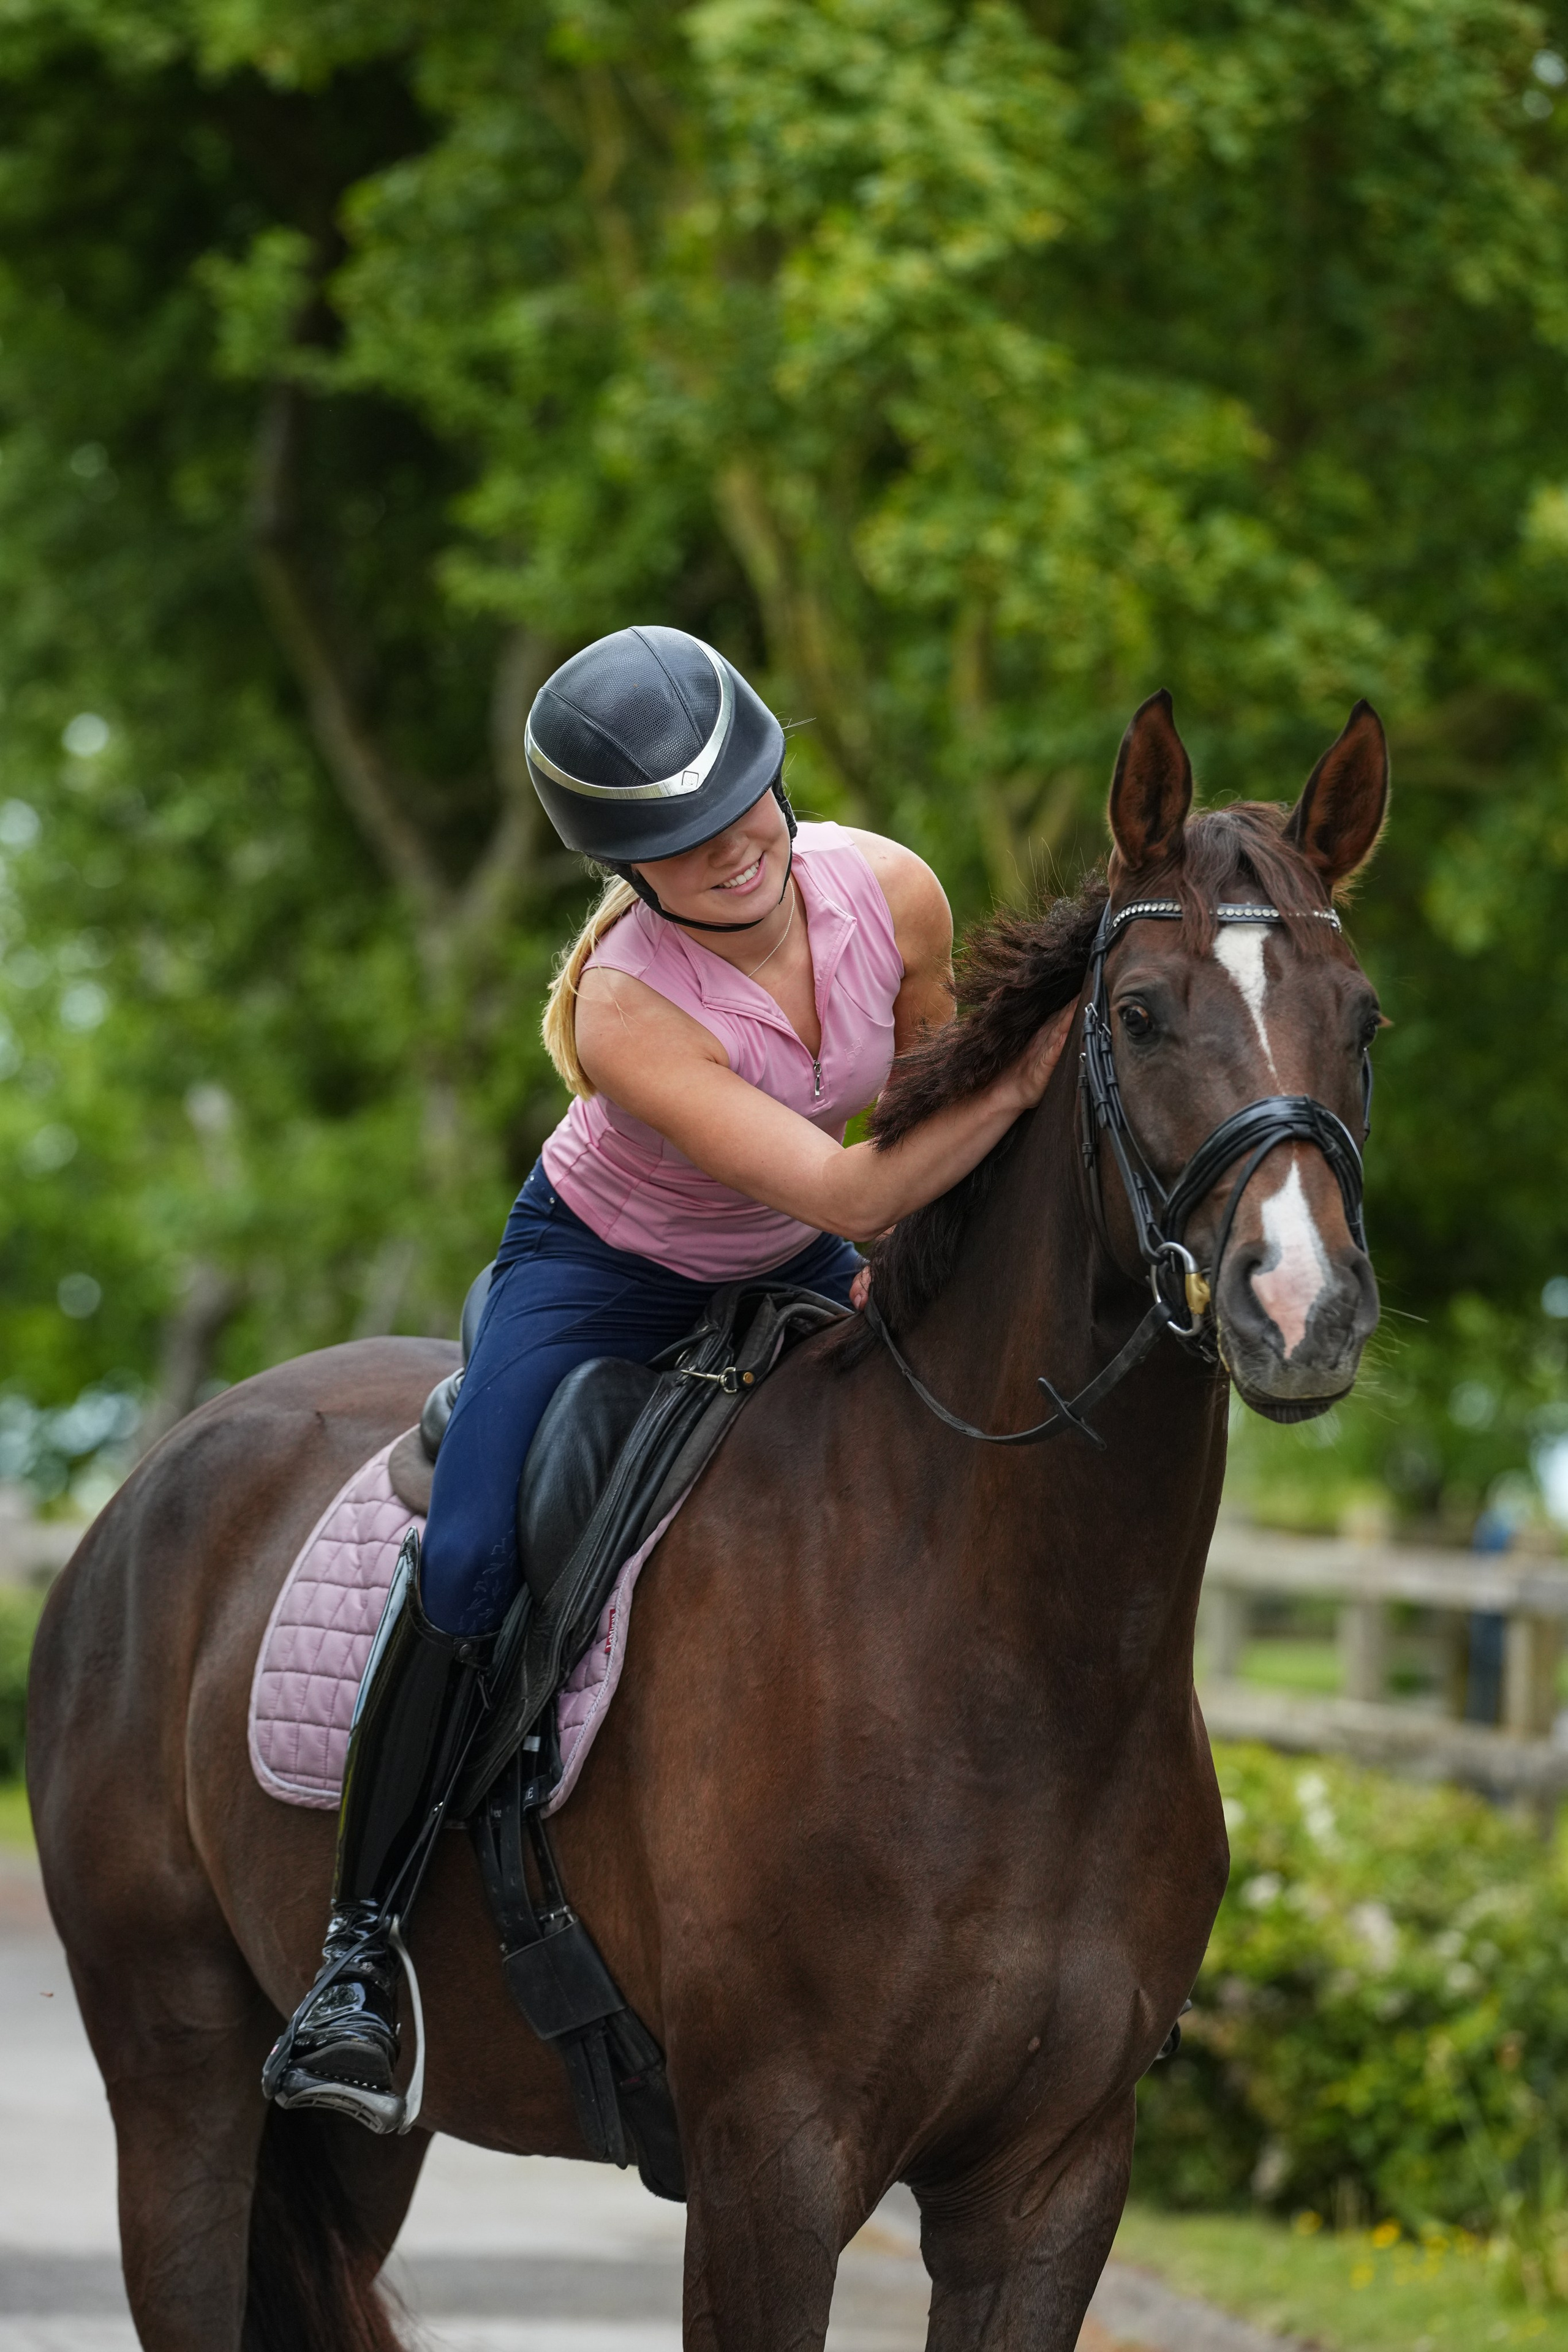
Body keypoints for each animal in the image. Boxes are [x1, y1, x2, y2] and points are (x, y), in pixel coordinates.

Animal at [26, 687, 1389, 2351]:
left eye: (1361, 1018)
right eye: (1133, 1012)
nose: (1299, 1310)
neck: (1008, 1652)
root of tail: (155, 1480)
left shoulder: (1050, 2179)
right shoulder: (769, 2162)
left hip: (368, 2142)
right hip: (181, 2079)